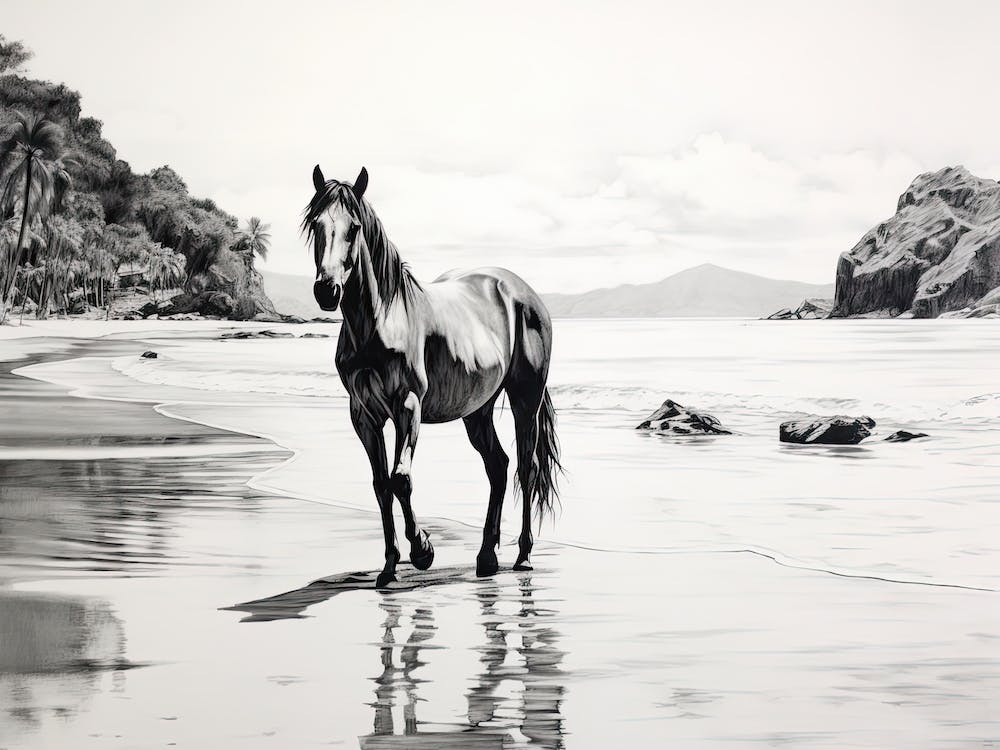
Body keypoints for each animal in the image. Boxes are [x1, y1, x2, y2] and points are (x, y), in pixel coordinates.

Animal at [303, 165, 561, 588]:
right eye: (316, 225)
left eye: (354, 228)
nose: (327, 290)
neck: (382, 319)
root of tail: (521, 291)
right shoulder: (364, 415)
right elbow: (381, 484)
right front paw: (390, 567)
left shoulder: (408, 405)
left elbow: (400, 479)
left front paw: (422, 550)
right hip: (478, 410)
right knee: (498, 467)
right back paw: (486, 557)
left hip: (526, 398)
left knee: (526, 468)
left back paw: (523, 556)